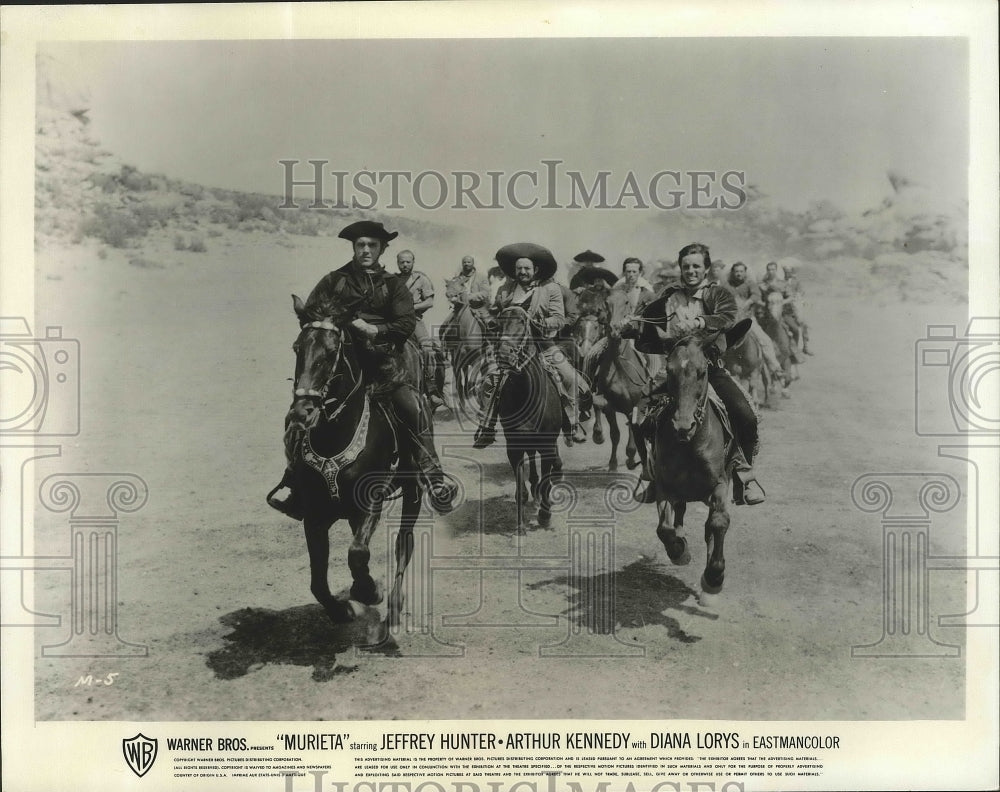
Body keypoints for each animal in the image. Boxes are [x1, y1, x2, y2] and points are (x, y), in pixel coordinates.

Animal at [282, 294, 422, 628]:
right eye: (297, 347)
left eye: (331, 352)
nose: (302, 412)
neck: (335, 436)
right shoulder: (314, 513)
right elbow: (318, 581)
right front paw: (342, 609)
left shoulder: (369, 503)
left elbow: (358, 552)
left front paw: (369, 592)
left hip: (413, 491)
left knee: (403, 543)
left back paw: (394, 606)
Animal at [492, 306, 564, 528]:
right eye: (498, 324)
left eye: (523, 323)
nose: (504, 355)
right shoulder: (513, 445)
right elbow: (520, 484)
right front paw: (520, 523)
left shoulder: (547, 444)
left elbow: (547, 480)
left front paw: (544, 516)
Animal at [644, 332, 740, 592]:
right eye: (669, 370)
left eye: (701, 372)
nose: (683, 426)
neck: (691, 445)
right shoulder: (664, 485)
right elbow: (664, 528)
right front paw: (679, 550)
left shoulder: (719, 484)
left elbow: (718, 522)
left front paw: (714, 575)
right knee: (679, 512)